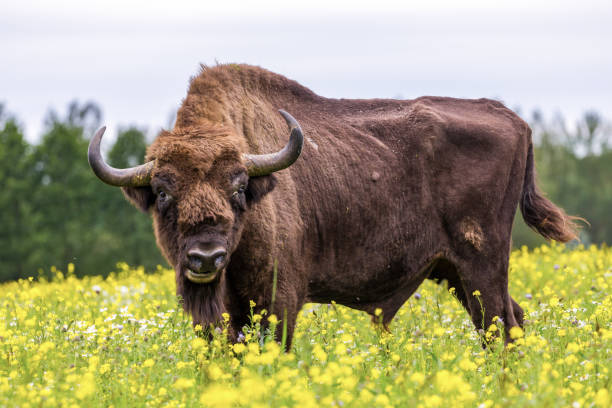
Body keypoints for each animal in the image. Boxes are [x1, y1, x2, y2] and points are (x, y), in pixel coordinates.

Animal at [86, 63, 580, 348]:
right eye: (163, 191)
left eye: (239, 188)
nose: (205, 257)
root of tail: (514, 119)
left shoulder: (279, 300)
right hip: (457, 273)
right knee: (508, 321)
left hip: (484, 265)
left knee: (501, 326)